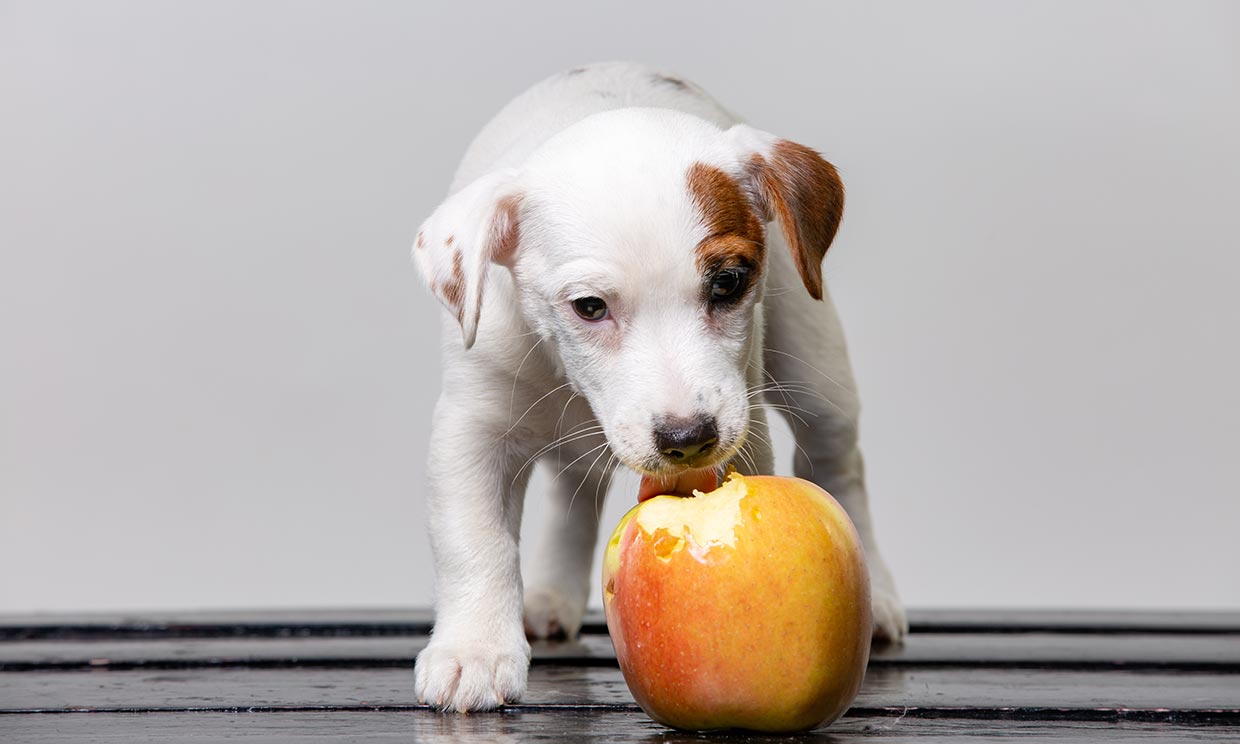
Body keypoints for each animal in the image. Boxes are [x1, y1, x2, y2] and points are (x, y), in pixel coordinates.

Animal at [411, 65, 907, 714]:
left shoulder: (743, 427)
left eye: (728, 282)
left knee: (837, 461)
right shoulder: (471, 431)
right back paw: (550, 596)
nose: (687, 437)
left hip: (815, 365)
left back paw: (879, 592)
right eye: (589, 306)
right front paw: (473, 651)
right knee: (573, 493)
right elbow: (474, 541)